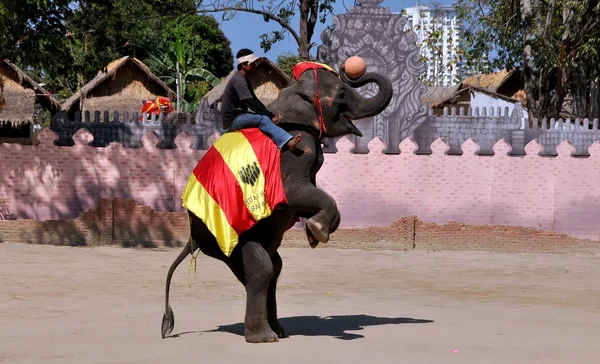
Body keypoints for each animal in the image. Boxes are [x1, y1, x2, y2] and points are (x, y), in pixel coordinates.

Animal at [161, 62, 394, 344]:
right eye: (340, 94)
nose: (352, 69)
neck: (291, 93)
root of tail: (191, 237)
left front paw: (314, 234)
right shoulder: (294, 150)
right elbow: (296, 193)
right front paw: (318, 231)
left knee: (272, 269)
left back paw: (279, 331)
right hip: (224, 238)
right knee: (262, 269)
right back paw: (264, 337)